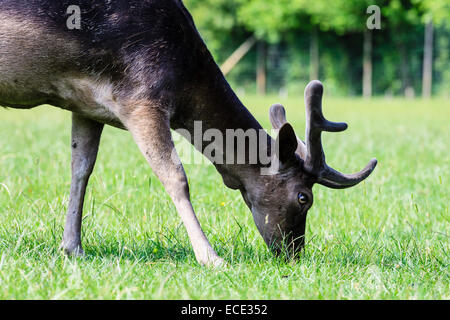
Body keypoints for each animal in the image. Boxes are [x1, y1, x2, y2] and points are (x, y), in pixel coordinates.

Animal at [0, 0, 376, 268]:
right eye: (304, 198)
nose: (294, 253)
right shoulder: (141, 99)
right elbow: (176, 178)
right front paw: (211, 258)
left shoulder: (86, 106)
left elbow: (81, 170)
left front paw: (73, 247)